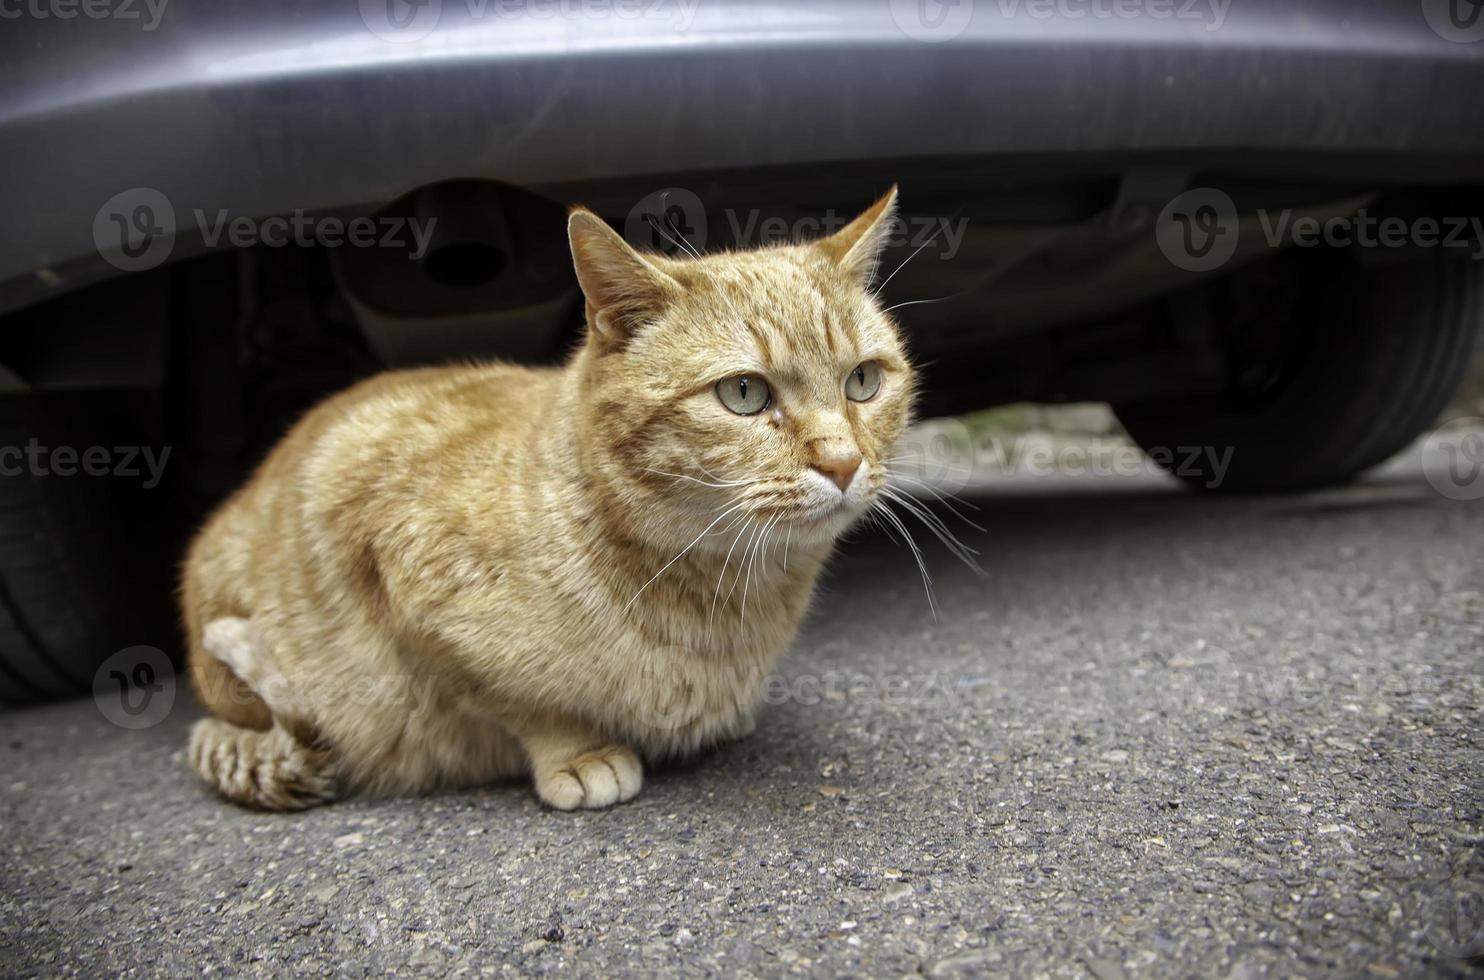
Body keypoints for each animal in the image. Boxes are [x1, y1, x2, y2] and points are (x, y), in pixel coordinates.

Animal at [185, 187, 914, 807]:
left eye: (863, 381)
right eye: (743, 393)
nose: (844, 462)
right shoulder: (395, 567)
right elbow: (518, 702)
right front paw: (578, 750)